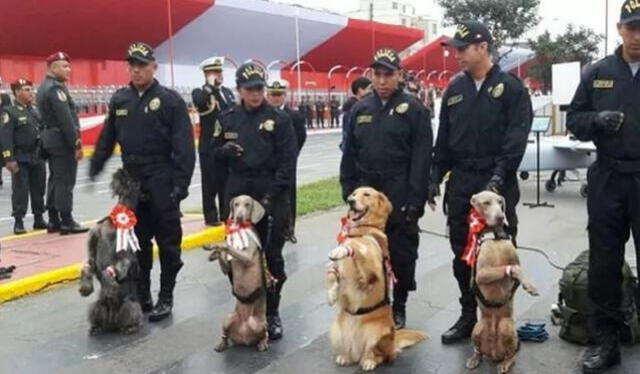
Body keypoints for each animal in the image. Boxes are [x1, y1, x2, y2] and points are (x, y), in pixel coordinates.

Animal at [78, 169, 143, 336]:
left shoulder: (125, 258)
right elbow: (87, 267)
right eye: (134, 181)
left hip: (131, 306)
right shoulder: (92, 254)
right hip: (96, 307)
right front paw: (85, 288)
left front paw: (109, 288)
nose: (121, 172)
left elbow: (108, 271)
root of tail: (112, 321)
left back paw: (130, 327)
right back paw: (96, 327)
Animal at [328, 187, 428, 372]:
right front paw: (331, 294)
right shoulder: (336, 268)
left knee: (380, 355)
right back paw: (345, 357)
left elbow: (356, 248)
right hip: (336, 331)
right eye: (354, 194)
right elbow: (331, 274)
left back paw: (369, 361)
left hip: (376, 333)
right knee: (351, 352)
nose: (350, 201)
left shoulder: (371, 269)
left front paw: (343, 249)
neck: (363, 229)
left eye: (367, 194)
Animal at [462, 191, 536, 372]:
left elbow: (517, 268)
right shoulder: (481, 274)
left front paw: (529, 286)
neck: (494, 238)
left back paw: (505, 363)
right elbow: (513, 268)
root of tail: (494, 353)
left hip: (507, 327)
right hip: (477, 328)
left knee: (513, 354)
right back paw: (474, 359)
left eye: (500, 202)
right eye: (486, 203)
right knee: (478, 350)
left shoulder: (516, 261)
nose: (501, 217)